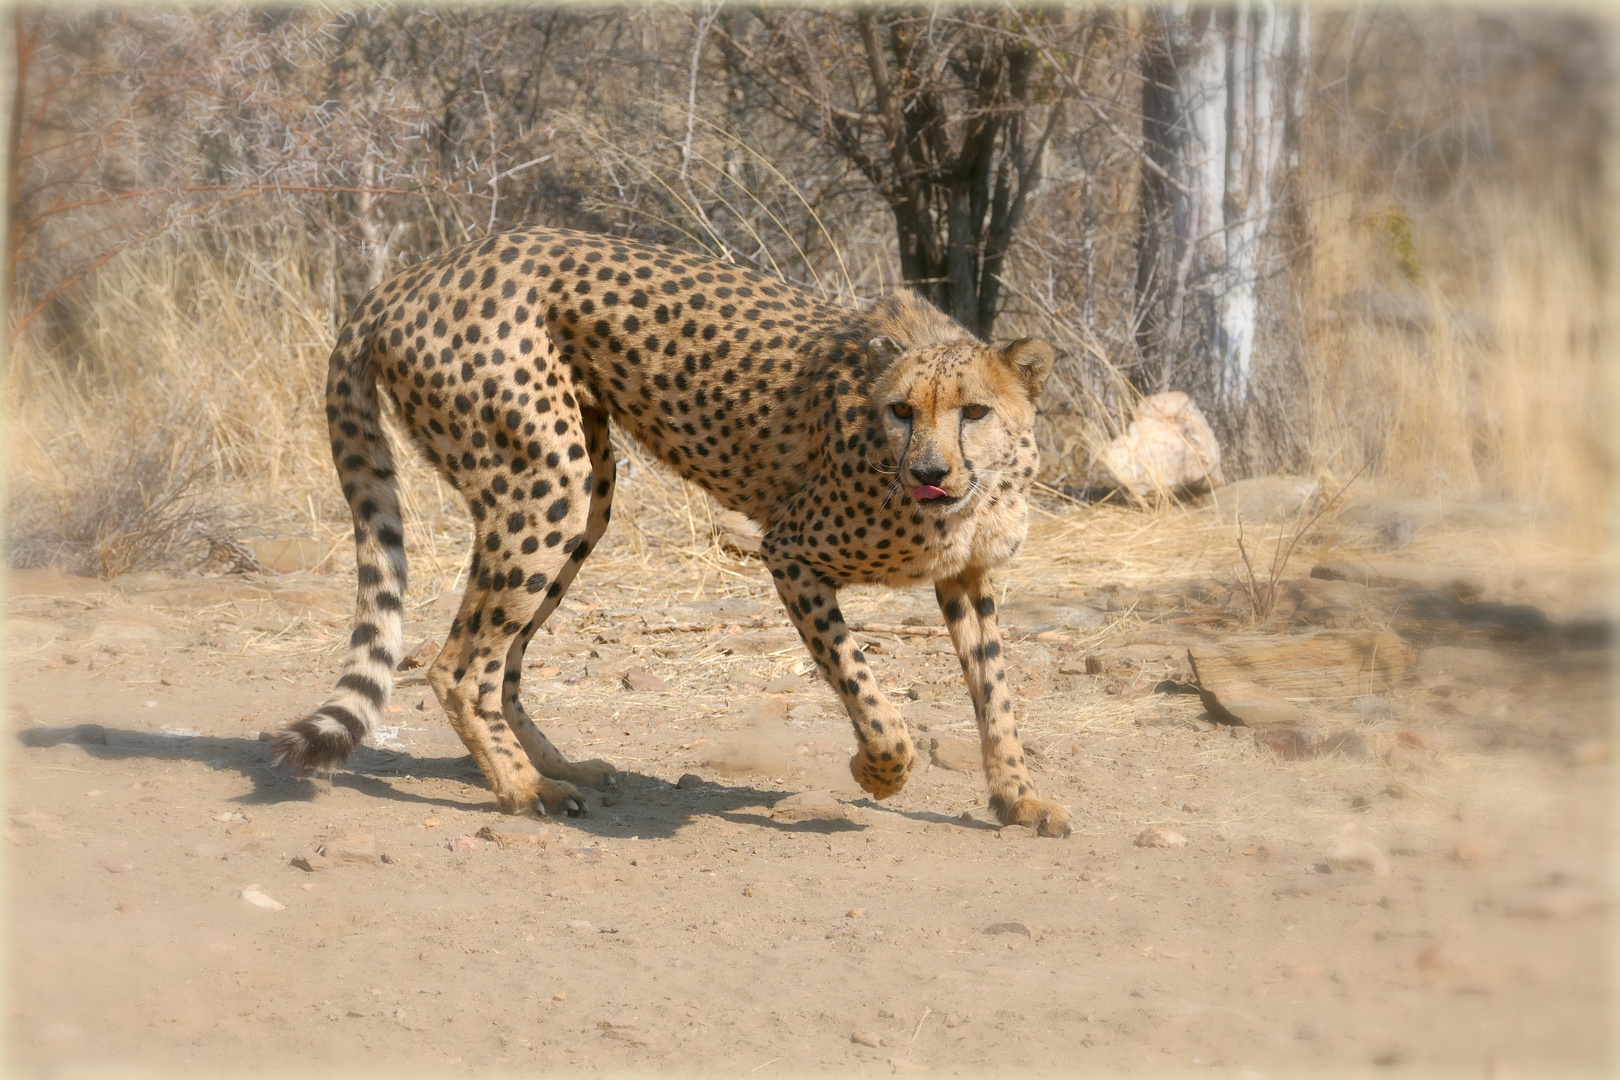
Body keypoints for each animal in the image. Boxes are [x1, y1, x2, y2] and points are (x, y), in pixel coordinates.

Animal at [272, 226, 1069, 835]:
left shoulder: (969, 577)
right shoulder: (790, 553)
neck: (970, 495)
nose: (929, 472)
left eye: (974, 411)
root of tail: (416, 275)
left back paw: (553, 765)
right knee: (458, 666)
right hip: (547, 485)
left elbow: (995, 692)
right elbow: (864, 687)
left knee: (504, 659)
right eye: (901, 410)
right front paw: (877, 771)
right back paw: (526, 790)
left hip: (587, 495)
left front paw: (1019, 799)